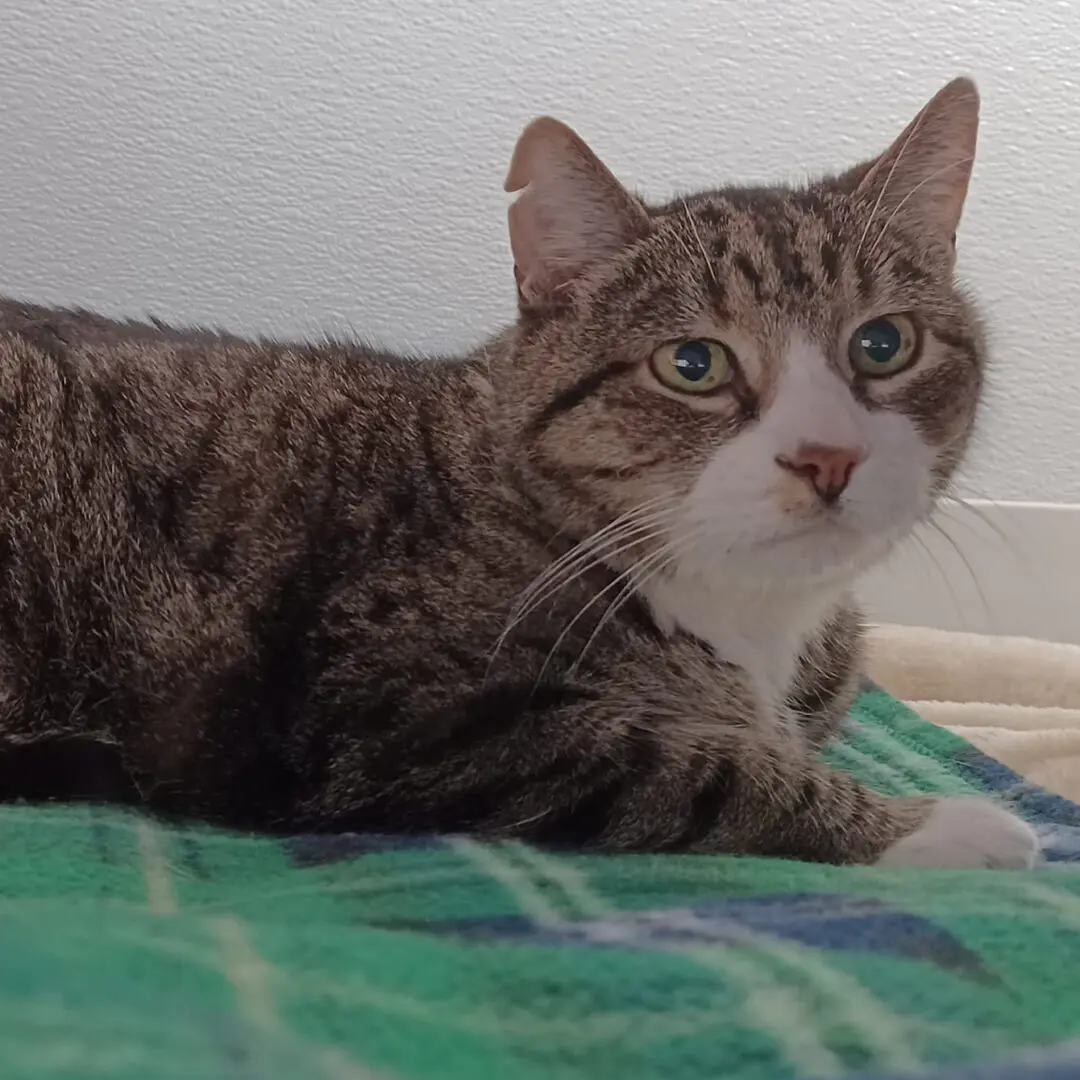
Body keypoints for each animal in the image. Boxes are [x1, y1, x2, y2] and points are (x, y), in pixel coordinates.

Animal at [0, 76, 1036, 868]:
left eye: (884, 345)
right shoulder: (398, 714)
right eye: (692, 364)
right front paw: (941, 828)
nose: (828, 454)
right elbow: (703, 769)